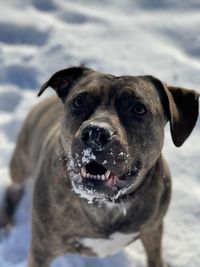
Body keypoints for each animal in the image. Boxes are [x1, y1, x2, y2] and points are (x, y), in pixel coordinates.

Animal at [1, 67, 198, 267]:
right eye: (79, 101)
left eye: (139, 108)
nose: (96, 132)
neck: (107, 204)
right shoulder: (42, 250)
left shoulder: (153, 230)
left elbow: (155, 257)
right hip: (21, 163)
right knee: (13, 189)